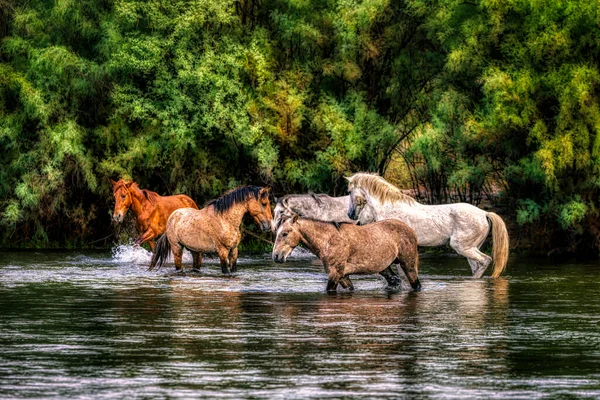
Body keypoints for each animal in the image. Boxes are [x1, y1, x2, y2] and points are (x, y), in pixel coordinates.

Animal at [272, 214, 422, 292]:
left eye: (285, 233)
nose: (276, 256)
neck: (328, 241)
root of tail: (411, 230)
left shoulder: (335, 274)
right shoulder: (343, 276)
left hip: (408, 265)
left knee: (416, 285)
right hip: (385, 268)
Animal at [344, 172, 508, 278]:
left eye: (349, 191)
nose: (351, 215)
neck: (390, 208)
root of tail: (484, 213)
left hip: (462, 247)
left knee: (485, 261)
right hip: (471, 248)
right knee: (477, 266)